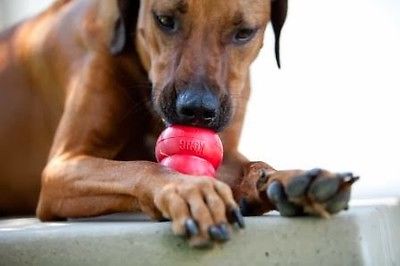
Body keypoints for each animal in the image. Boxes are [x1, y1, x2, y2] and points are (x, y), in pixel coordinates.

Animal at [0, 0, 356, 247]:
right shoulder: (61, 169)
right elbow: (143, 167)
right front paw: (187, 190)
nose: (196, 110)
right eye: (165, 20)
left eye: (244, 32)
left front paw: (287, 179)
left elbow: (251, 165)